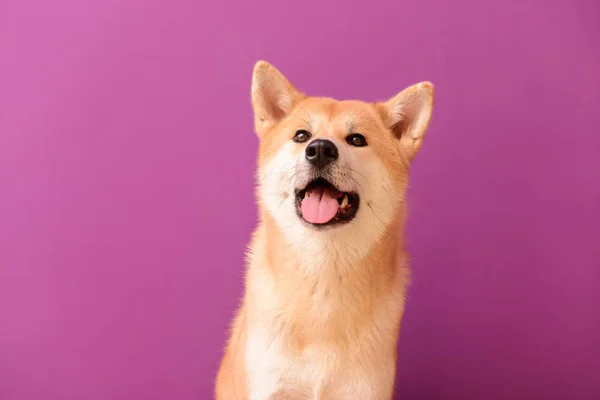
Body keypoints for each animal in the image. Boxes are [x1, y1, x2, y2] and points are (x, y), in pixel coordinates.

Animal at [216, 61, 436, 398]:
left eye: (356, 139)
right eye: (301, 135)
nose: (320, 149)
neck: (324, 275)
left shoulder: (363, 390)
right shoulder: (271, 386)